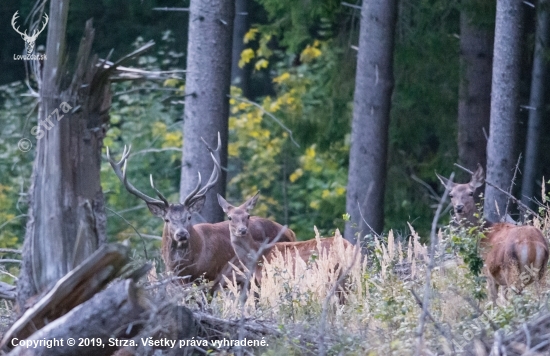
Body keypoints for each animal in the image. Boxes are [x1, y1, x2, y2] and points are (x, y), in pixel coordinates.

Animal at [108, 134, 298, 284]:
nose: (182, 234)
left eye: (189, 217)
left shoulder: (209, 276)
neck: (185, 265)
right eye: (167, 219)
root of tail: (290, 232)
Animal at [438, 165, 548, 302]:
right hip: (542, 272)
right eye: (451, 195)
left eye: (471, 193)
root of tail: (533, 245)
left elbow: (493, 301)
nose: (459, 207)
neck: (483, 234)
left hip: (512, 271)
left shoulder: (488, 273)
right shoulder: (501, 282)